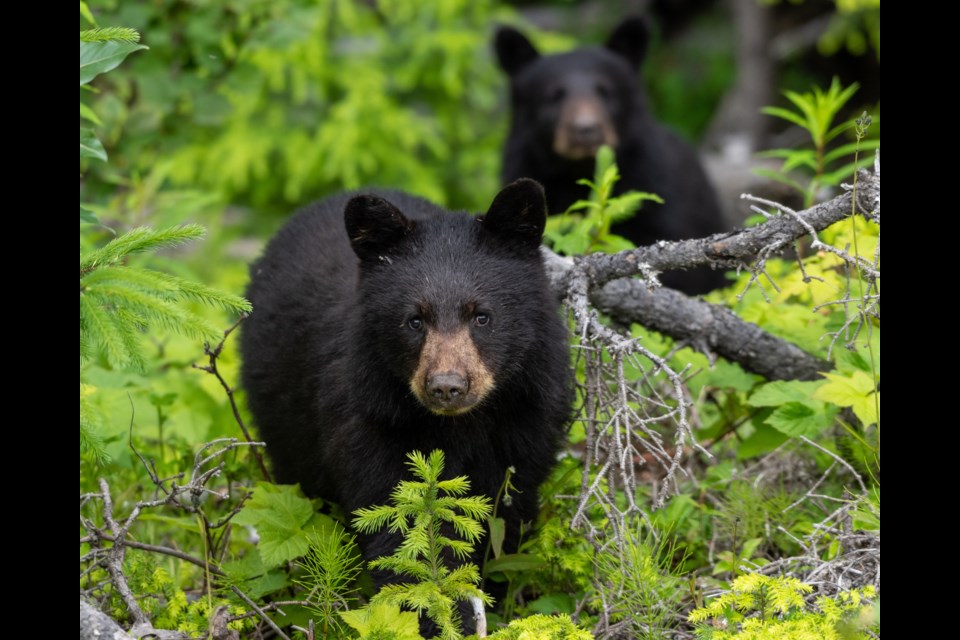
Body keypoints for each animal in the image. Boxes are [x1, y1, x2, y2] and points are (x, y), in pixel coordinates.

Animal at [240, 179, 568, 580]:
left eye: (482, 316)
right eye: (414, 320)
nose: (447, 387)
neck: (461, 426)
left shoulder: (525, 420)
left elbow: (505, 515)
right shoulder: (373, 419)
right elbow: (398, 519)